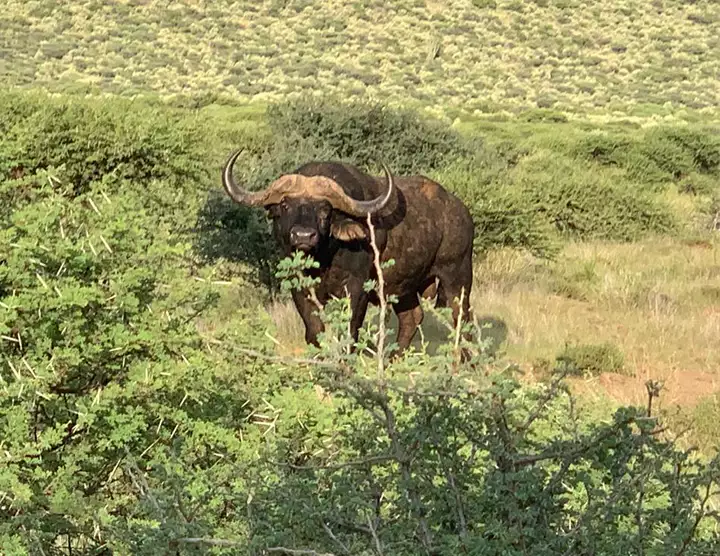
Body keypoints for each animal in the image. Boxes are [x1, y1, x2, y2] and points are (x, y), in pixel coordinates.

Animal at [222, 150, 474, 355]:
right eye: (285, 205)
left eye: (325, 210)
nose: (303, 236)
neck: (323, 260)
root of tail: (461, 211)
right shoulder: (300, 286)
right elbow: (314, 331)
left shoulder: (356, 289)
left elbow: (350, 331)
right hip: (404, 286)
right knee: (412, 317)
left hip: (458, 277)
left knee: (462, 317)